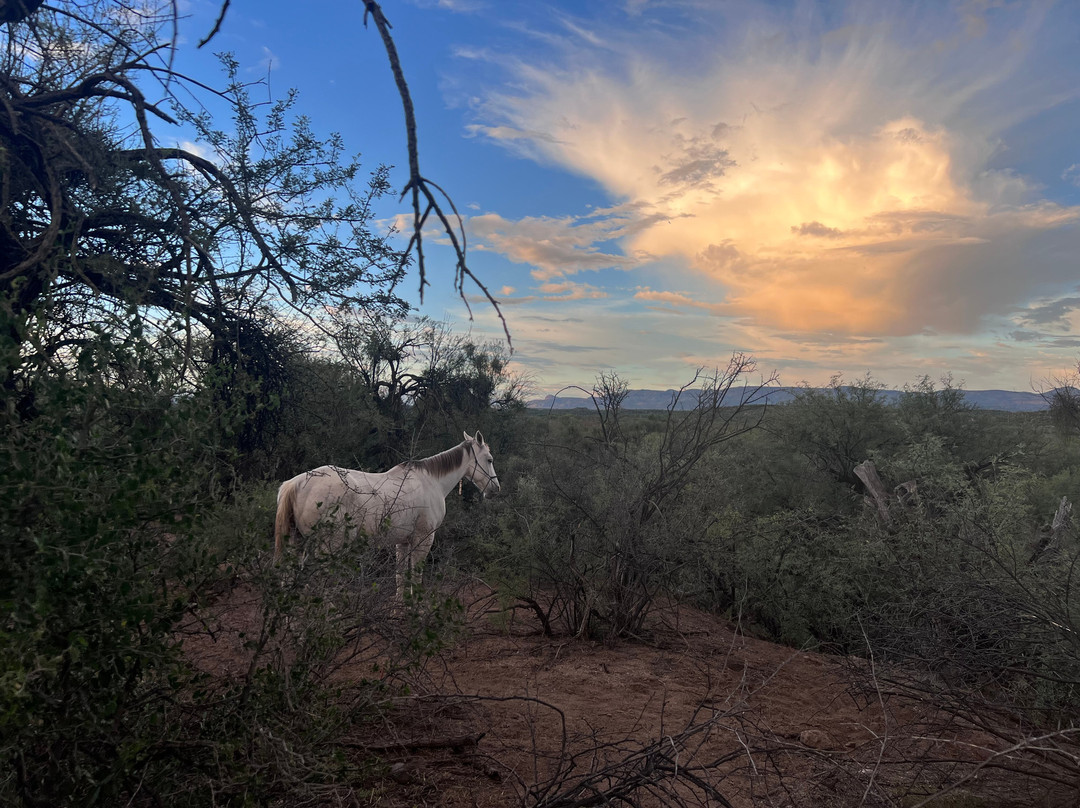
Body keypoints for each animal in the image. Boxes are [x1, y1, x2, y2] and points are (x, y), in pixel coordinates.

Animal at [274, 432, 501, 596]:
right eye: (489, 459)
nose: (495, 489)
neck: (431, 482)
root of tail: (296, 483)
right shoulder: (423, 540)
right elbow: (416, 576)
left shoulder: (402, 542)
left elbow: (400, 577)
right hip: (328, 546)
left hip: (297, 542)